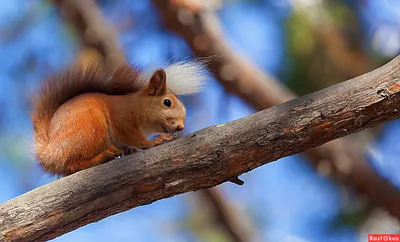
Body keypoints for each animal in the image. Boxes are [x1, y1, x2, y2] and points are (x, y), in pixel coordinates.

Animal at [30, 61, 206, 176]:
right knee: (72, 163)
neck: (137, 106)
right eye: (167, 102)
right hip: (91, 127)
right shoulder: (122, 118)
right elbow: (135, 137)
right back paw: (105, 155)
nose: (181, 127)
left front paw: (131, 150)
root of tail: (50, 153)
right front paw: (154, 141)